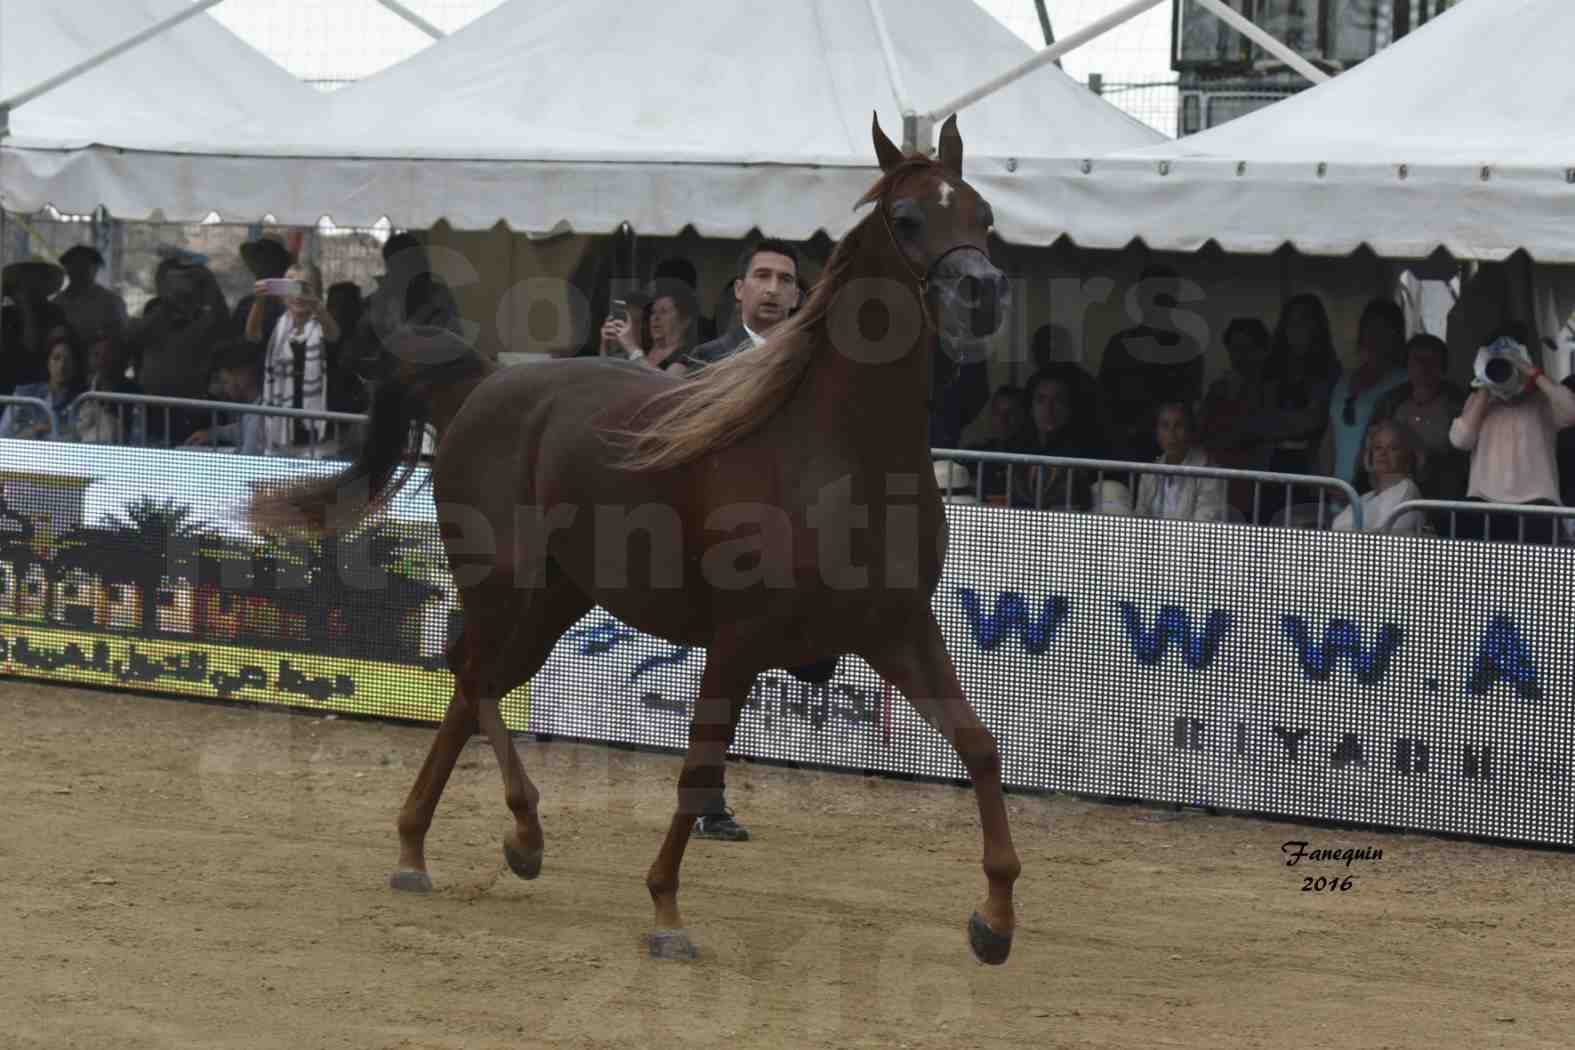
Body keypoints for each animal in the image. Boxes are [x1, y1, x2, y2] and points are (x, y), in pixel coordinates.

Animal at [248, 113, 1020, 963]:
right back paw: (512, 833)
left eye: (983, 214)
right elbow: (698, 771)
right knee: (471, 674)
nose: (981, 292)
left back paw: (427, 847)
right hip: (500, 585)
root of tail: (486, 383)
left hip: (554, 600)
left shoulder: (898, 628)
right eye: (908, 218)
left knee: (474, 685)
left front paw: (994, 920)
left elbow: (979, 746)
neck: (839, 450)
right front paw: (666, 913)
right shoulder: (741, 639)